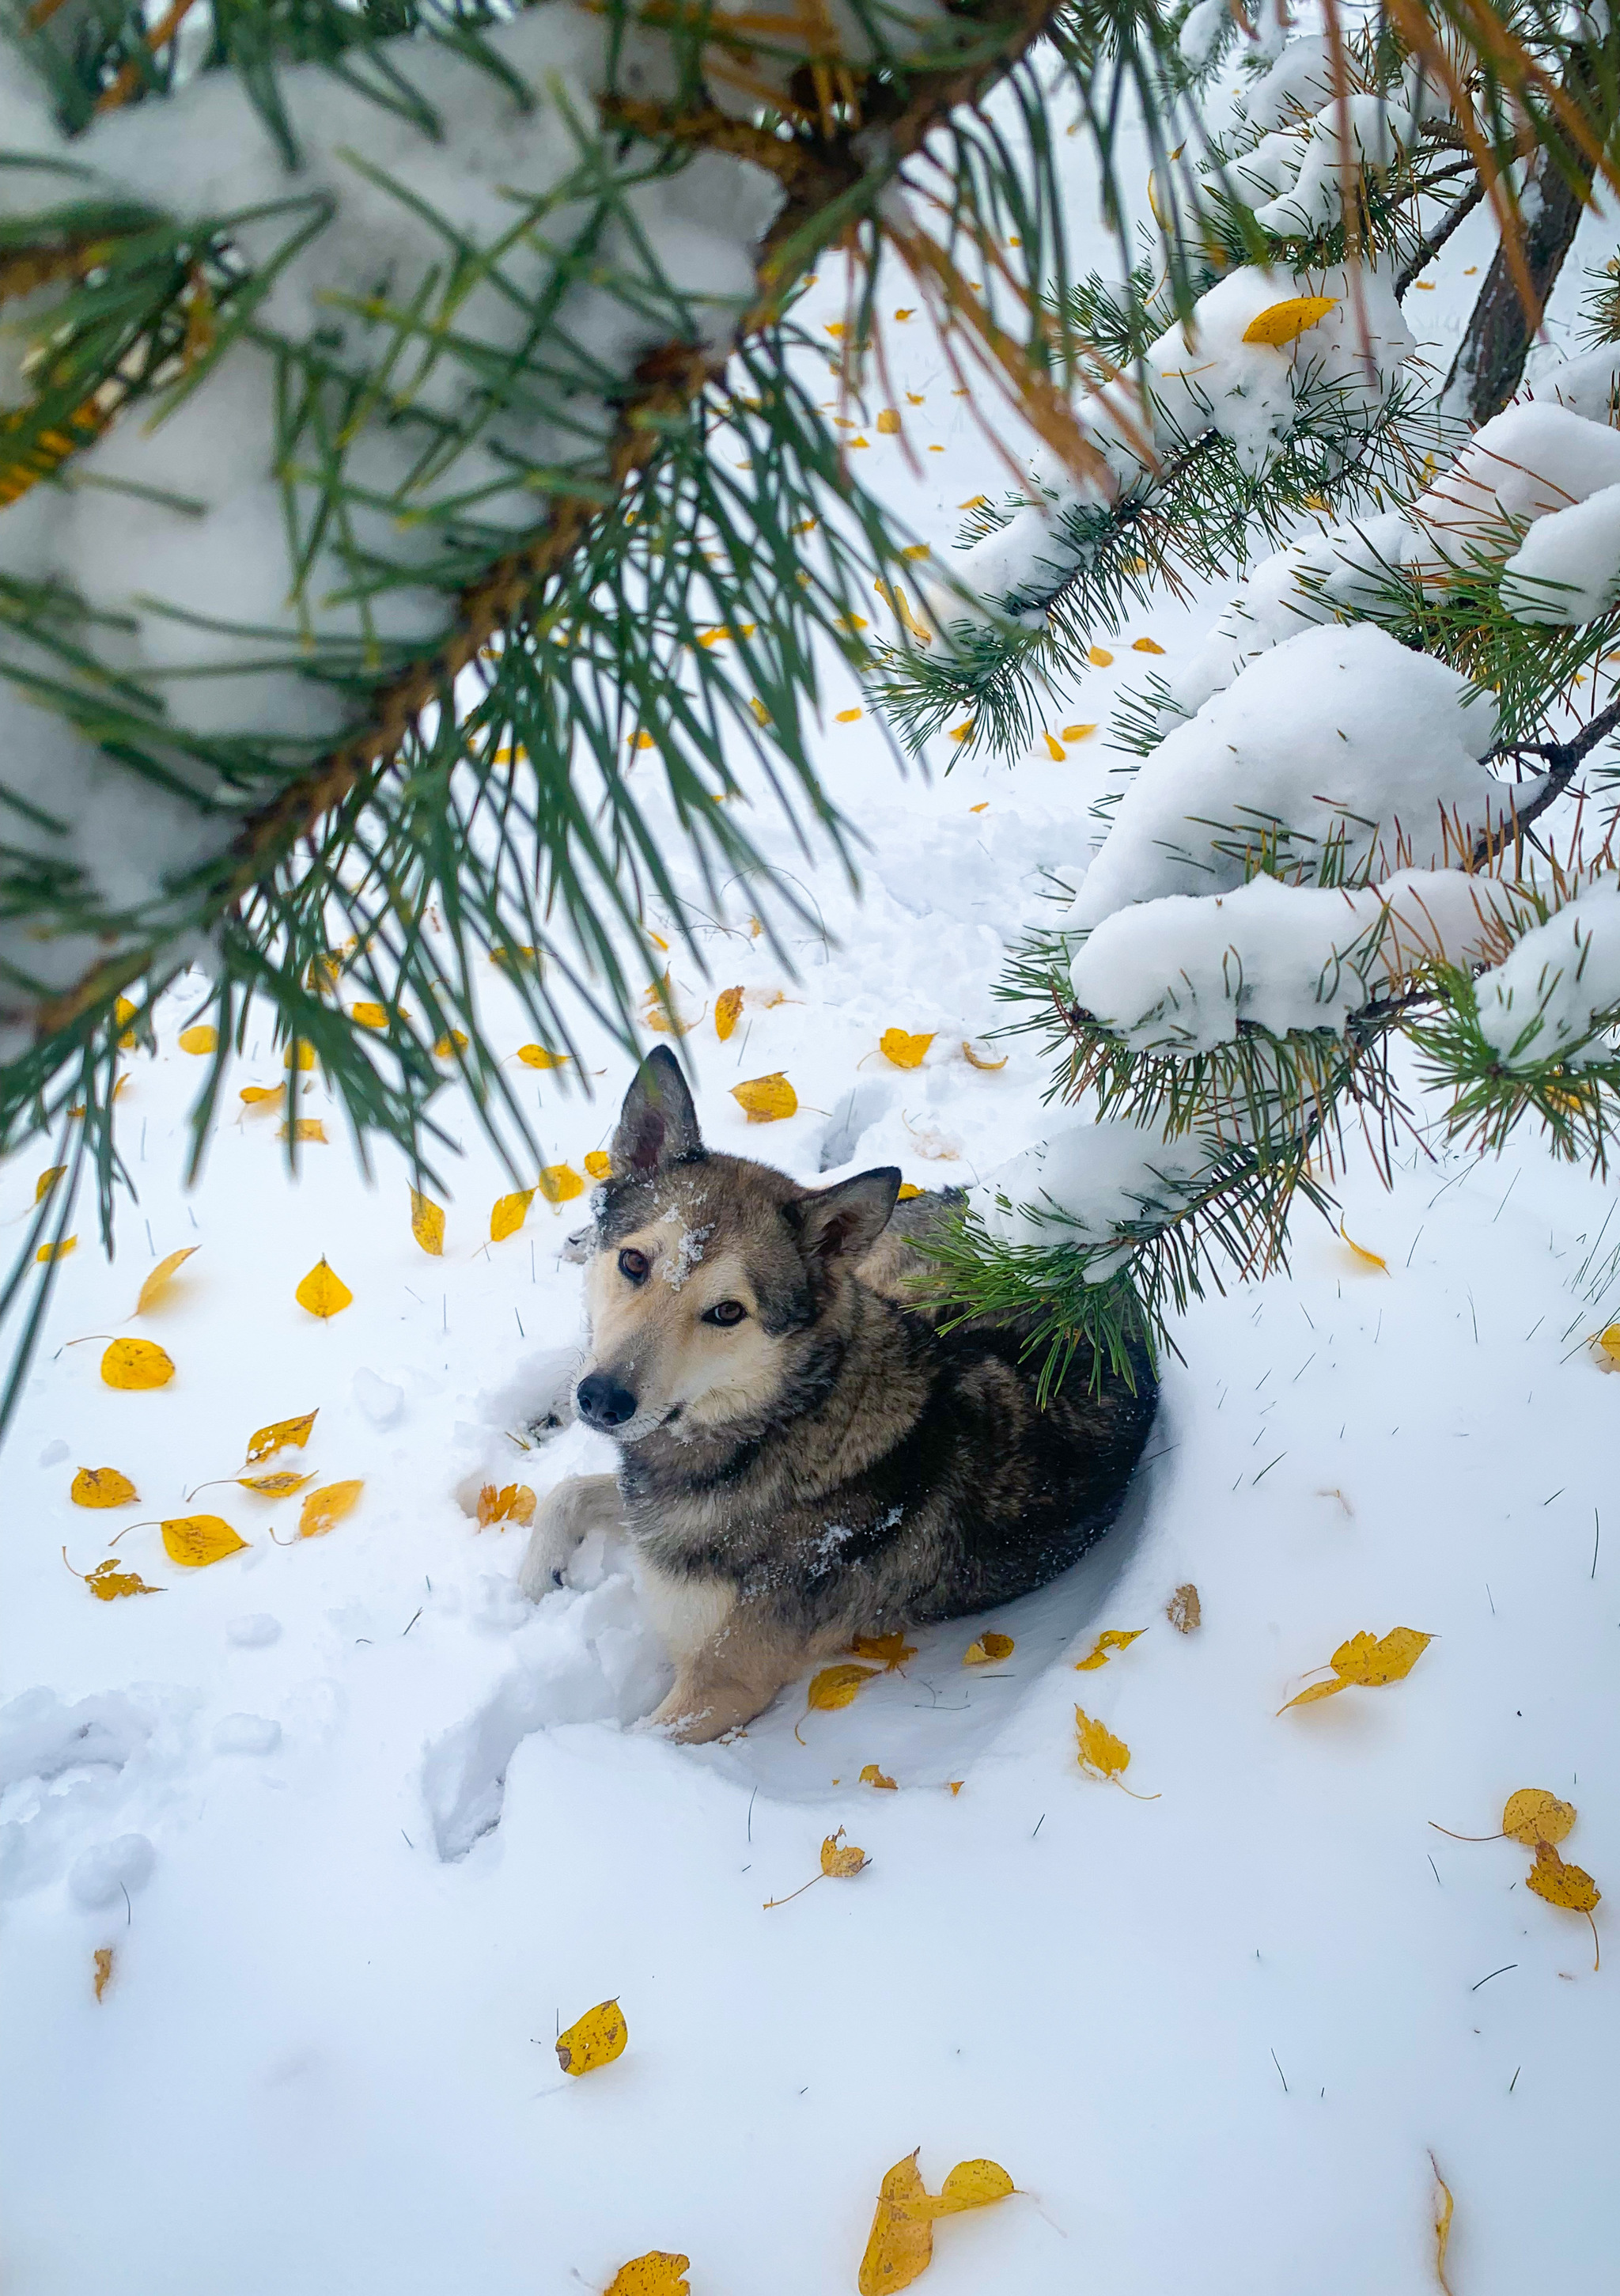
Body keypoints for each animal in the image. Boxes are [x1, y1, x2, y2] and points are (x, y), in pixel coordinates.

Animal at [518, 1047, 1147, 1735]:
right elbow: (567, 1492)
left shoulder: (722, 1685)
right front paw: (532, 1582)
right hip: (886, 1278)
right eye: (634, 1263)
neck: (783, 1424)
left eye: (728, 1312)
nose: (601, 1400)